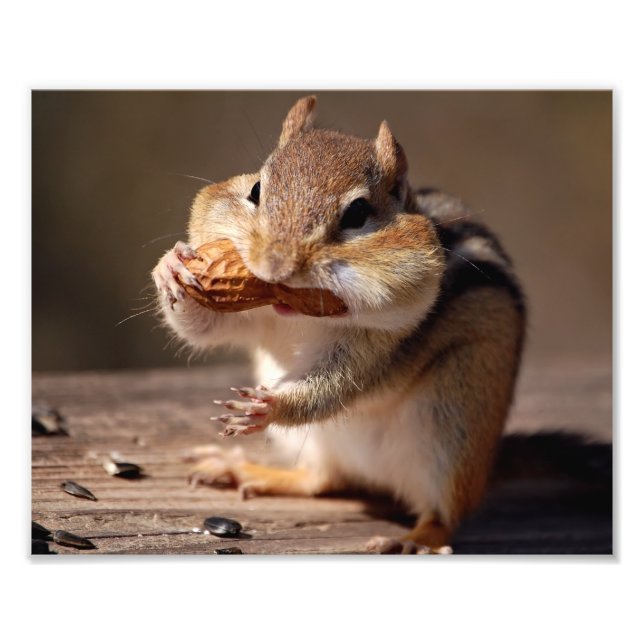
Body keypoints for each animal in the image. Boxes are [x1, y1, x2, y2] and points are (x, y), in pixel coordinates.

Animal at [152, 96, 526, 554]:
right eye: (256, 190)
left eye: (358, 213)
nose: (274, 268)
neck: (299, 316)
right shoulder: (250, 315)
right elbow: (203, 329)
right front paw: (171, 266)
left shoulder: (381, 341)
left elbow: (338, 386)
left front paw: (271, 407)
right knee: (321, 480)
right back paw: (248, 470)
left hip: (455, 422)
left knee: (443, 513)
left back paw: (414, 539)